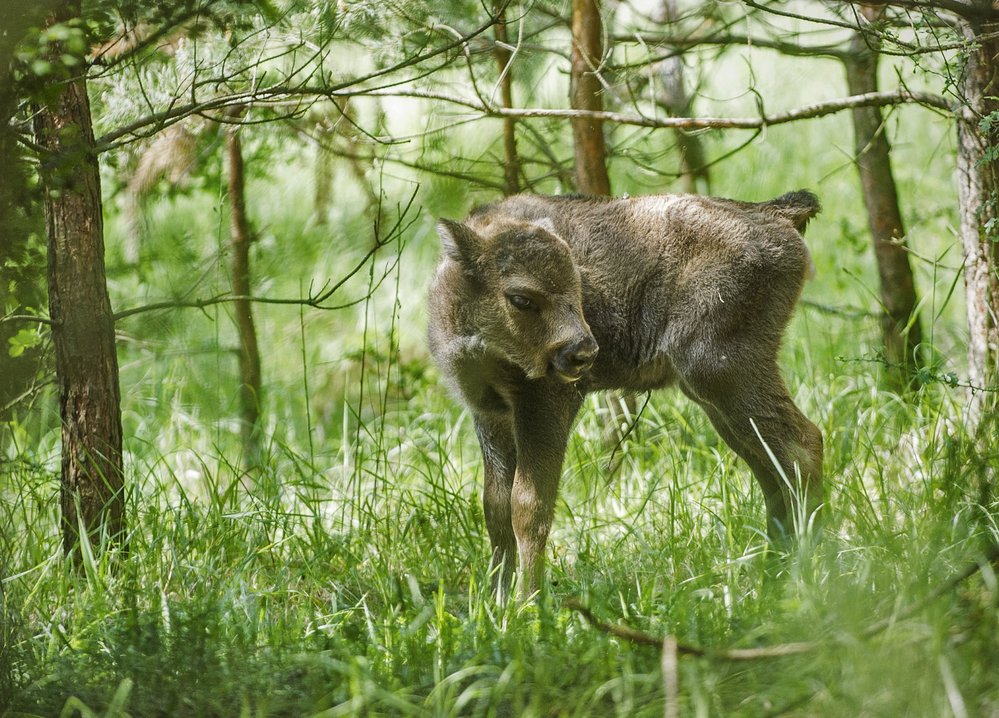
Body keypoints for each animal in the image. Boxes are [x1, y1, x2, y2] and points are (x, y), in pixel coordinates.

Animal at [426, 190, 824, 596]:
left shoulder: (546, 405)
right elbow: (495, 507)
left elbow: (528, 506)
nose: (584, 352)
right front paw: (495, 598)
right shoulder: (490, 414)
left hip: (720, 372)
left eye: (576, 285)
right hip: (717, 398)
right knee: (770, 464)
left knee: (803, 444)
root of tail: (776, 214)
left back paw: (804, 571)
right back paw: (774, 571)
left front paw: (527, 600)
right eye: (521, 298)